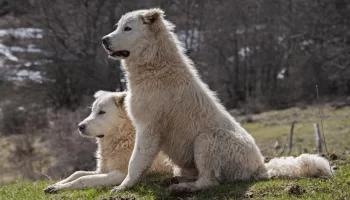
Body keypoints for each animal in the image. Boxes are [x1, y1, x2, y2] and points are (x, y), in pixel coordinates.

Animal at [44, 91, 173, 193]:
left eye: (102, 112)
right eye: (92, 111)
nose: (80, 126)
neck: (121, 138)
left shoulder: (121, 174)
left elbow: (83, 179)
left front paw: (59, 188)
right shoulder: (102, 170)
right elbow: (77, 173)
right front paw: (56, 184)